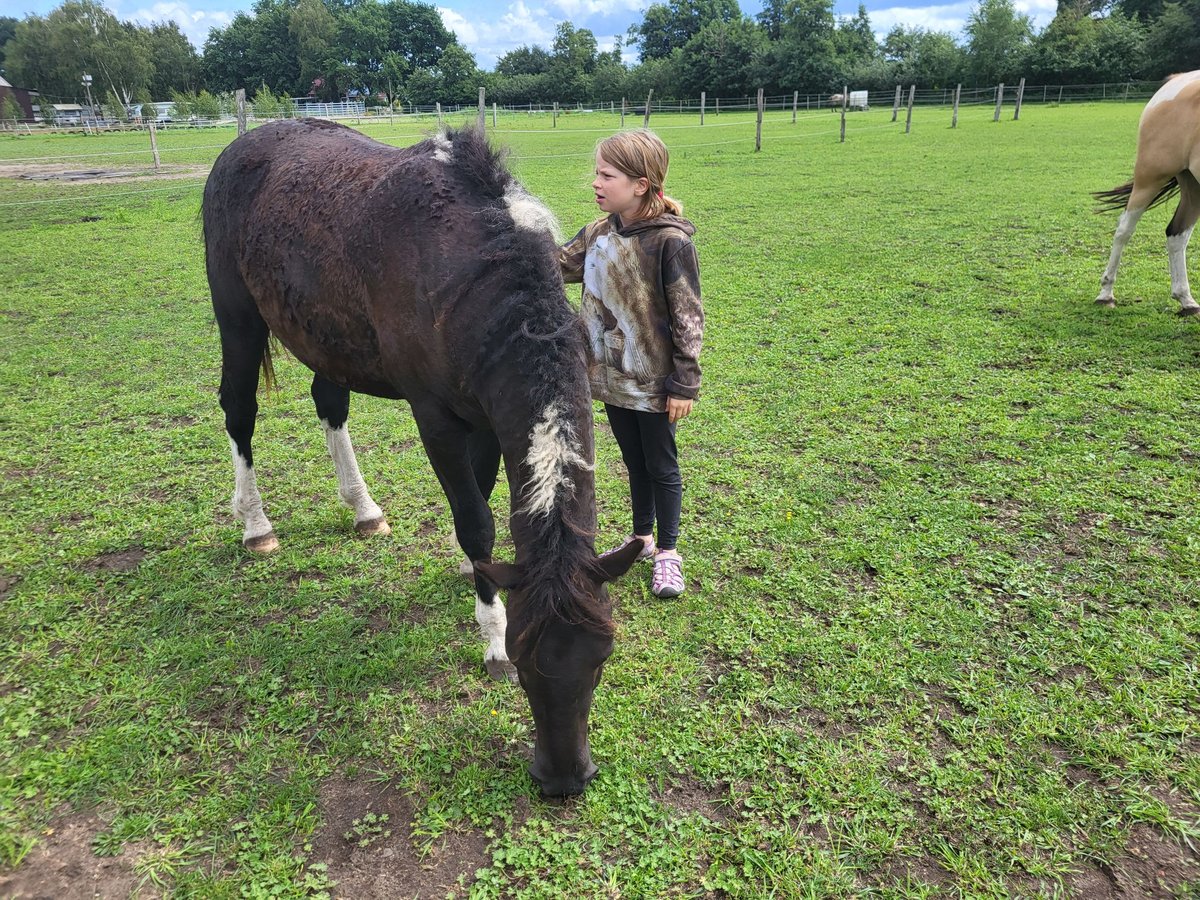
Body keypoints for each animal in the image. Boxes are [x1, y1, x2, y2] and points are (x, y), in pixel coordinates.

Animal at [201, 120, 643, 797]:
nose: (565, 779)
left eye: (601, 657)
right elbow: (474, 519)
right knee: (239, 410)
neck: (470, 272)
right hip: (239, 319)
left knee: (329, 401)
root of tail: (240, 146)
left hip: (326, 338)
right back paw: (255, 524)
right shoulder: (434, 417)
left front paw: (477, 573)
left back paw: (363, 509)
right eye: (524, 660)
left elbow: (483, 499)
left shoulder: (485, 413)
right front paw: (489, 632)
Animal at [1095, 70, 1200, 315]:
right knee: (1123, 230)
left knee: (1177, 234)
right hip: (1149, 178)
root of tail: (1177, 79)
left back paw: (1186, 300)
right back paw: (1106, 294)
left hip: (1193, 184)